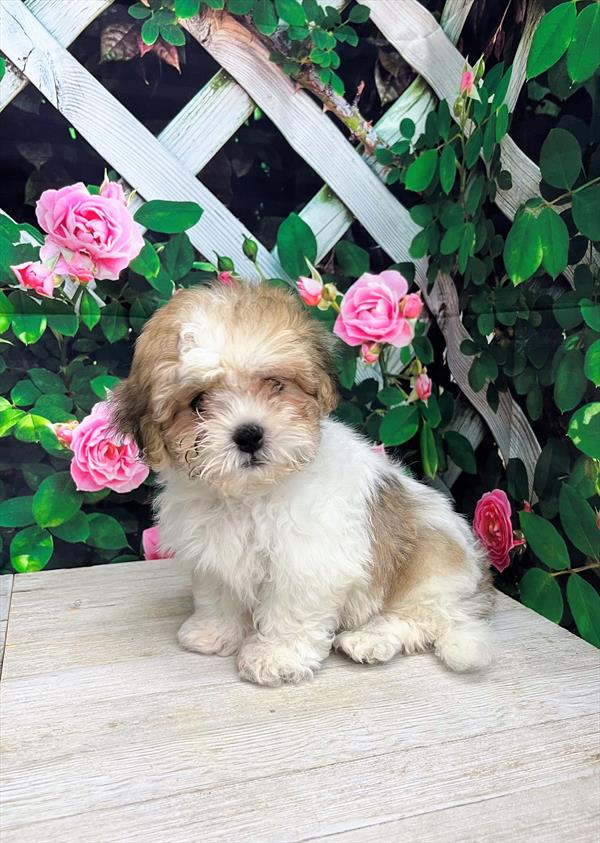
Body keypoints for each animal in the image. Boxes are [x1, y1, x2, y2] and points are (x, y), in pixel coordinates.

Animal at [111, 282, 492, 684]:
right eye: (198, 402)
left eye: (275, 384)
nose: (248, 434)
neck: (252, 494)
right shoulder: (214, 553)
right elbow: (219, 595)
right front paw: (214, 632)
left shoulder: (308, 560)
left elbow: (290, 610)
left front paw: (276, 656)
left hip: (431, 564)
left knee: (424, 618)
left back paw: (369, 639)